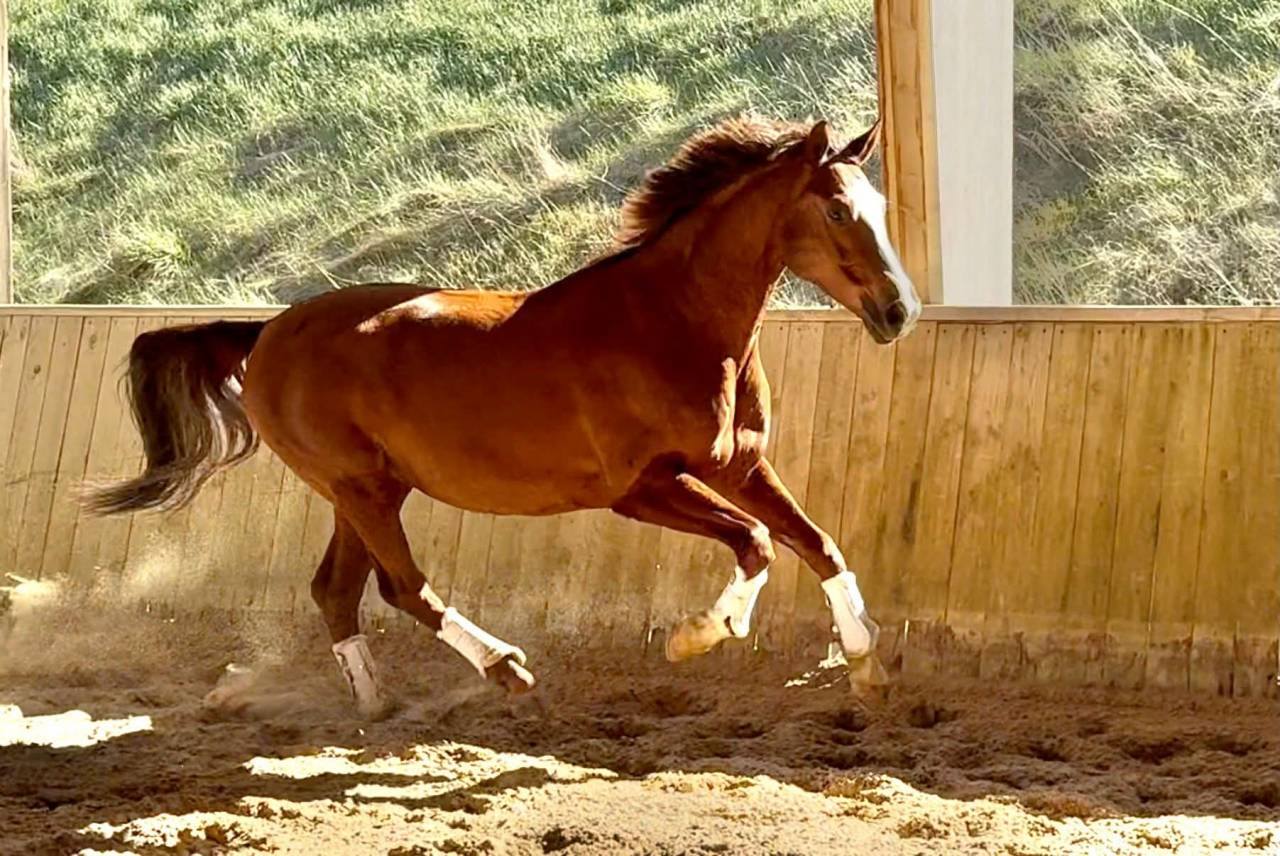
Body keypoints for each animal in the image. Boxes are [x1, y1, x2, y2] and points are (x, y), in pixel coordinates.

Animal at [87, 116, 921, 717]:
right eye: (839, 209)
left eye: (881, 208)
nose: (899, 311)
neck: (673, 322)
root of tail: (266, 332)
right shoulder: (642, 489)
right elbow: (756, 543)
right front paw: (698, 637)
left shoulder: (739, 465)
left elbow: (817, 543)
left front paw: (867, 665)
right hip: (359, 488)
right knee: (403, 588)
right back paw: (506, 668)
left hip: (367, 492)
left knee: (335, 590)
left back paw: (373, 703)